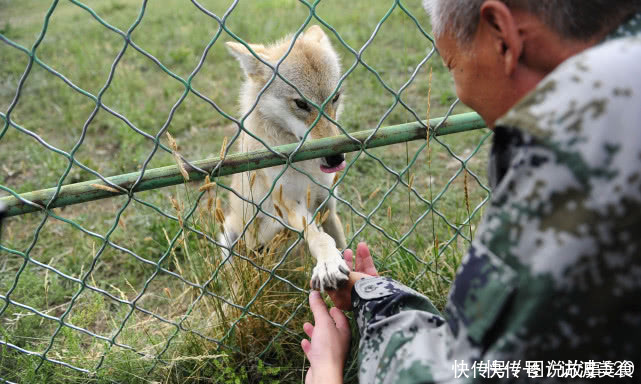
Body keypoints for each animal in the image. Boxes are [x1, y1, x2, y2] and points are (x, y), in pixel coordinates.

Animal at [220, 25, 350, 292]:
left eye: (335, 98)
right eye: (301, 103)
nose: (336, 158)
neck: (306, 166)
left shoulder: (327, 205)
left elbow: (339, 240)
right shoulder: (289, 203)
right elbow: (320, 238)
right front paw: (328, 263)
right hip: (229, 236)